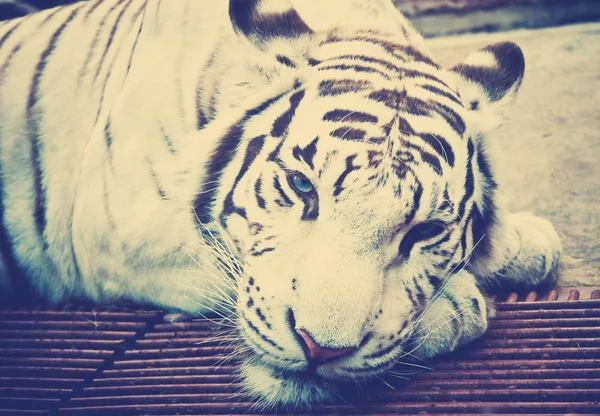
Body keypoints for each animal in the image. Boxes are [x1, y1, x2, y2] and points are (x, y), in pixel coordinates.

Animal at [0, 0, 564, 406]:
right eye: (300, 187)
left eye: (423, 231)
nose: (321, 348)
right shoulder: (110, 234)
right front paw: (456, 306)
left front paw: (524, 245)